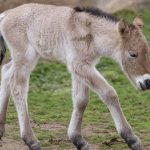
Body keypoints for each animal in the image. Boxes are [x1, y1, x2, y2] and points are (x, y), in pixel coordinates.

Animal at [0, 3, 150, 150]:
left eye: (147, 52)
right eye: (132, 54)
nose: (147, 82)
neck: (91, 33)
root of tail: (6, 14)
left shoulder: (83, 67)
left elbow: (81, 100)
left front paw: (78, 140)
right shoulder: (79, 65)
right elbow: (109, 93)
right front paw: (132, 139)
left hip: (26, 57)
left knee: (6, 72)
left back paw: (1, 128)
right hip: (25, 57)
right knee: (17, 88)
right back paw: (31, 141)